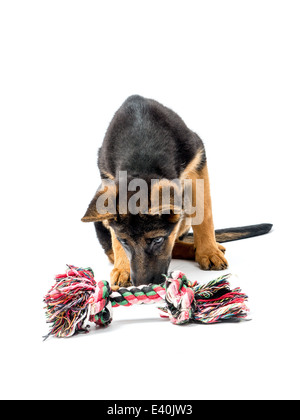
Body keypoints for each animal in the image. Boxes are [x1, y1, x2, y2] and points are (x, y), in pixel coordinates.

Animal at [82, 96, 272, 288]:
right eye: (124, 241)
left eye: (157, 240)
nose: (143, 286)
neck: (141, 156)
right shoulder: (107, 178)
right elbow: (116, 241)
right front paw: (123, 268)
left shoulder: (197, 162)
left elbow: (205, 214)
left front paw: (209, 251)